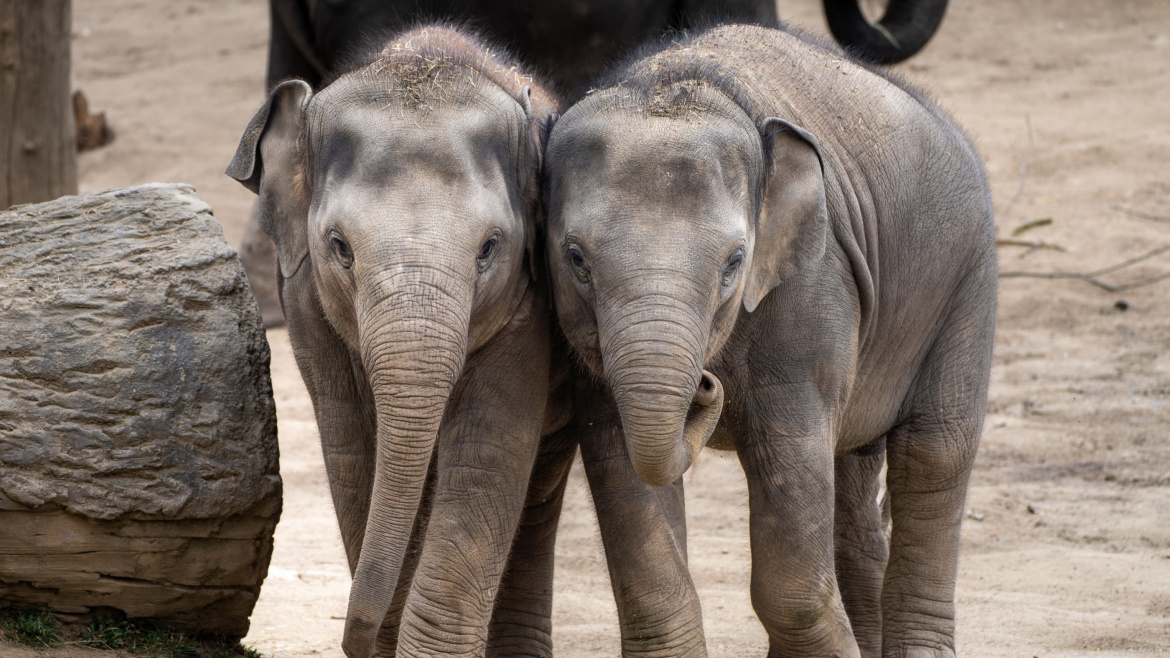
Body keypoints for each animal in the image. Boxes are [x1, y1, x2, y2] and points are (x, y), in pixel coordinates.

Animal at [225, 24, 573, 655]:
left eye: (489, 248)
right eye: (340, 247)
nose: (350, 638)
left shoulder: (529, 308)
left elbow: (486, 456)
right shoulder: (307, 304)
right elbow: (352, 455)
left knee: (536, 491)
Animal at [545, 23, 996, 650]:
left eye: (734, 262)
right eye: (577, 259)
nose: (706, 386)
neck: (675, 82)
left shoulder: (812, 292)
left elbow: (789, 461)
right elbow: (622, 461)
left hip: (966, 283)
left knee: (935, 454)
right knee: (856, 477)